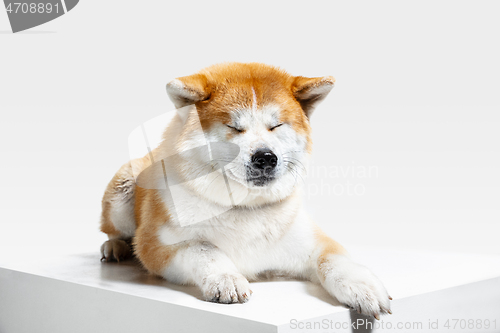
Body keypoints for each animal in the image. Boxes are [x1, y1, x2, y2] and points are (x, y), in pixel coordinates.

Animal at [99, 62, 392, 320]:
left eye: (277, 125)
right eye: (234, 127)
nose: (265, 157)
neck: (243, 209)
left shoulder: (313, 243)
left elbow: (334, 261)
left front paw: (362, 286)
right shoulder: (155, 245)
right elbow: (202, 248)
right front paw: (226, 277)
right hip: (124, 187)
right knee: (116, 231)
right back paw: (114, 246)